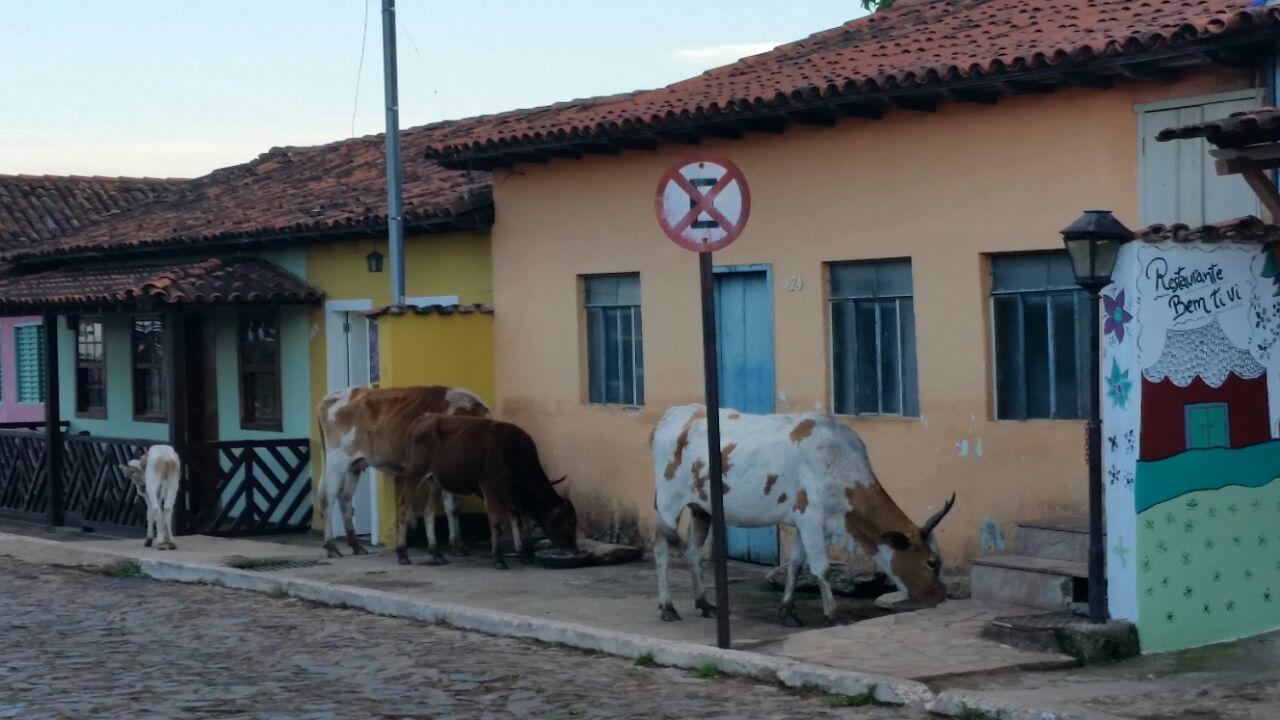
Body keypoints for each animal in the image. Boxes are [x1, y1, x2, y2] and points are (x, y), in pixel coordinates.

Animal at [314, 384, 488, 558]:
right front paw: (454, 544)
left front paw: (457, 544)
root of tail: (333, 395)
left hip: (354, 464)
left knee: (345, 498)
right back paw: (331, 547)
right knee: (328, 498)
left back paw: (356, 545)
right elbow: (450, 506)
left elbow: (454, 508)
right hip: (337, 460)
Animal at [404, 415, 581, 566]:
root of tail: (421, 420)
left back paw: (436, 553)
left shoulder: (511, 494)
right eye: (569, 522)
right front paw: (498, 558)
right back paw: (403, 554)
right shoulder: (489, 487)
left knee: (428, 512)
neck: (513, 453)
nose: (575, 550)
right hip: (415, 475)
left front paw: (522, 553)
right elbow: (495, 522)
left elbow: (515, 519)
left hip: (434, 481)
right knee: (405, 508)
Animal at [655, 404, 957, 622]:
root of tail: (673, 414)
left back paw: (704, 603)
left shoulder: (808, 523)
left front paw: (788, 611)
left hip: (701, 509)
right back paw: (668, 607)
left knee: (693, 551)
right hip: (668, 503)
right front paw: (832, 613)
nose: (939, 597)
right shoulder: (810, 518)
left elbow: (796, 564)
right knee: (662, 548)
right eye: (931, 562)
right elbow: (821, 567)